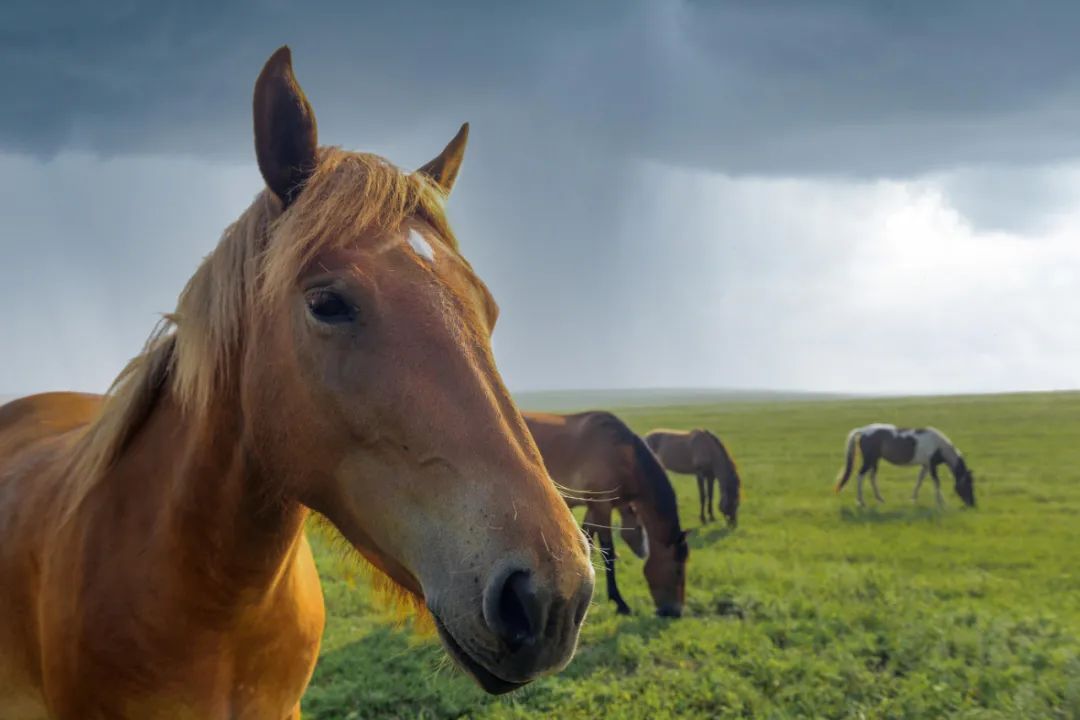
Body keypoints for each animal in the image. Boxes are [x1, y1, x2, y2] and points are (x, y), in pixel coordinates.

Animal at [522, 410, 691, 621]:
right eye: (677, 570)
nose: (675, 612)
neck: (622, 455)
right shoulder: (602, 505)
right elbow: (608, 552)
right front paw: (620, 602)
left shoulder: (593, 506)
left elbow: (587, 541)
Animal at [833, 423, 980, 507]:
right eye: (968, 485)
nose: (972, 504)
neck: (939, 446)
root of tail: (862, 431)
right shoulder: (932, 466)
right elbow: (936, 482)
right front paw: (941, 502)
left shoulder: (925, 466)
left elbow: (919, 481)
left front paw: (913, 499)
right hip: (869, 460)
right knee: (860, 476)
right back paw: (861, 502)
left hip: (875, 460)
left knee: (872, 477)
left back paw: (880, 499)